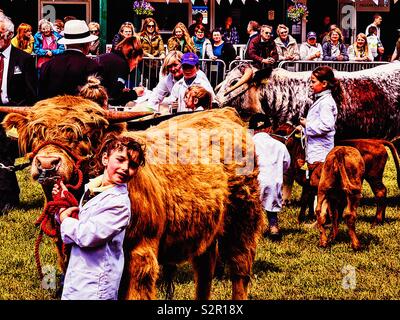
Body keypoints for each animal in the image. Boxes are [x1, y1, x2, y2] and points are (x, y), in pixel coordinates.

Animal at [0, 97, 266, 300]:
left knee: (240, 268)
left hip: (243, 219)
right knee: (205, 268)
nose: (47, 164)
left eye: (82, 135)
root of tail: (224, 112)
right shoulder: (66, 253)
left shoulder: (141, 255)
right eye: (36, 133)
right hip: (206, 226)